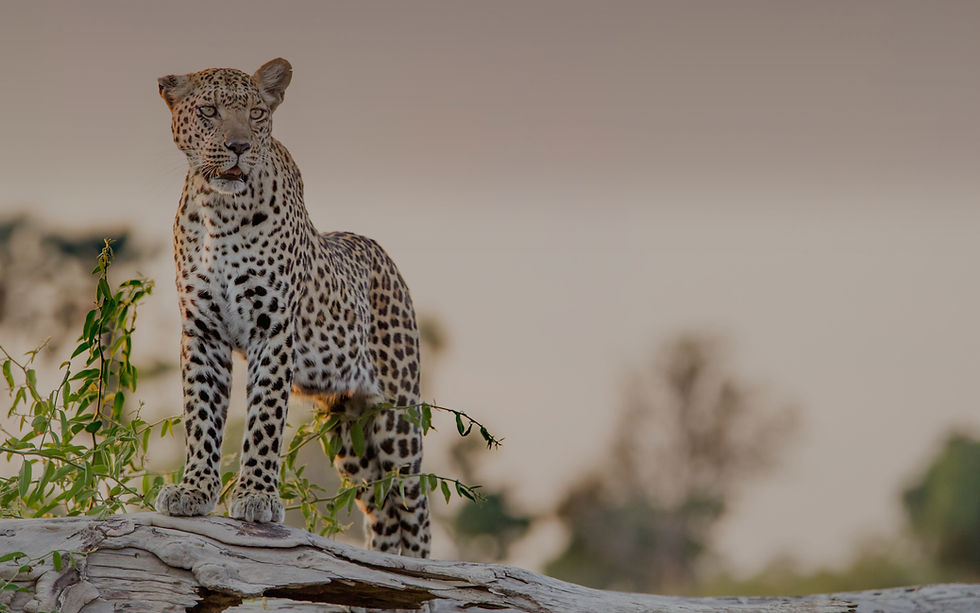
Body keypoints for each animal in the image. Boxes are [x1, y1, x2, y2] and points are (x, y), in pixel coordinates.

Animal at [153, 58, 431, 557]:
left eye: (257, 114)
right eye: (208, 111)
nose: (239, 146)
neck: (219, 210)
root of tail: (385, 257)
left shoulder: (273, 329)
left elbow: (264, 417)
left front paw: (256, 497)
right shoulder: (202, 332)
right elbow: (201, 415)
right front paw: (194, 490)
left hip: (396, 418)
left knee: (413, 506)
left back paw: (420, 568)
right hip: (348, 433)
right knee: (381, 509)